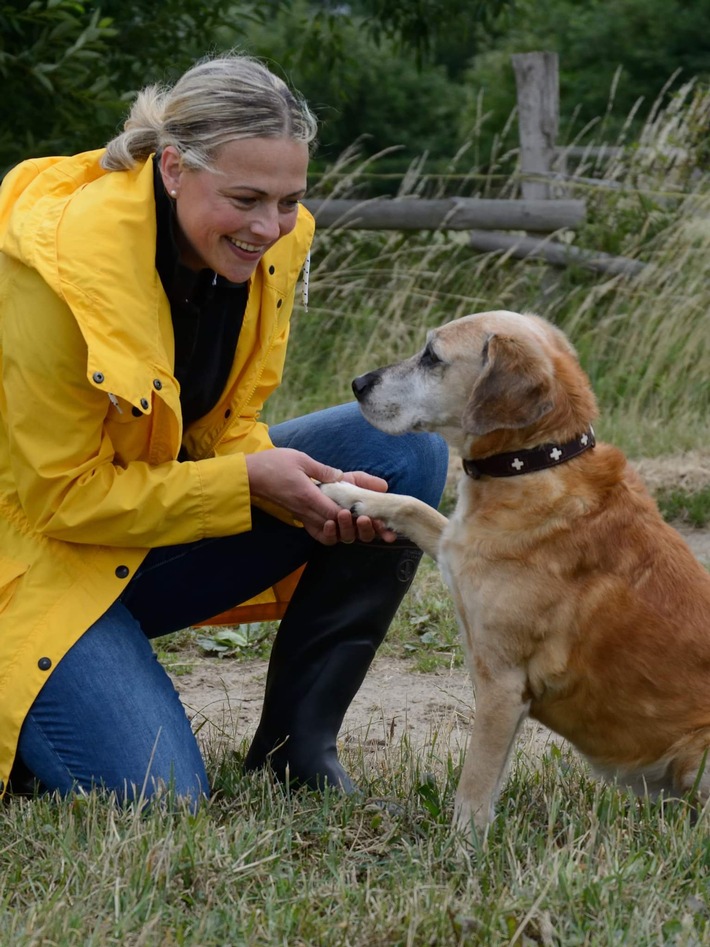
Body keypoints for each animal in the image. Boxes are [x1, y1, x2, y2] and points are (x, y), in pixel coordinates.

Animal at [324, 310, 710, 828]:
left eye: (432, 356)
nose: (358, 383)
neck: (530, 464)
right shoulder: (452, 549)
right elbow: (410, 506)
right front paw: (345, 492)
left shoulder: (503, 686)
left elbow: (473, 790)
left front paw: (461, 846)